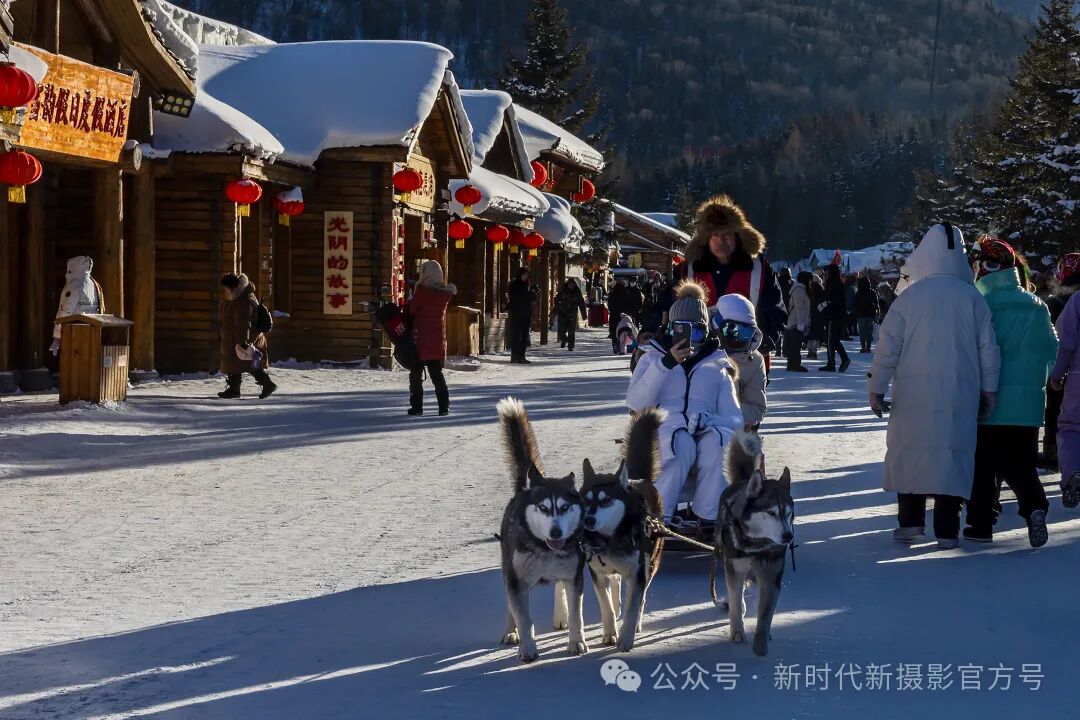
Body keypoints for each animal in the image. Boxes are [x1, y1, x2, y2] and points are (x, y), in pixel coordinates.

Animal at [496, 397, 589, 663]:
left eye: (565, 507)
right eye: (544, 508)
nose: (556, 533)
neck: (544, 548)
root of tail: (522, 490)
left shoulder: (574, 576)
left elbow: (577, 614)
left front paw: (576, 641)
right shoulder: (517, 581)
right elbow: (523, 617)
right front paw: (527, 646)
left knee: (559, 588)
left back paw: (561, 615)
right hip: (508, 569)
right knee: (510, 605)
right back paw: (511, 631)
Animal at [580, 408, 664, 652]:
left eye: (605, 500)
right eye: (586, 500)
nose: (588, 520)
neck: (611, 540)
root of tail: (638, 478)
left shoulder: (637, 575)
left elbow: (633, 605)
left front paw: (626, 637)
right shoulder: (597, 574)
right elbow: (606, 604)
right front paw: (610, 632)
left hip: (651, 563)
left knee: (640, 597)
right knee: (616, 587)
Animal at [709, 431, 794, 657]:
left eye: (788, 513)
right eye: (771, 512)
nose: (788, 536)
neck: (757, 544)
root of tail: (744, 480)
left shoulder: (771, 575)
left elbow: (765, 612)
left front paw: (761, 641)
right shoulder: (734, 569)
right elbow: (736, 601)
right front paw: (738, 631)